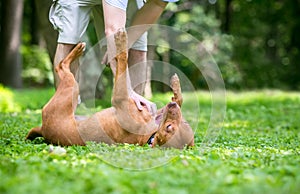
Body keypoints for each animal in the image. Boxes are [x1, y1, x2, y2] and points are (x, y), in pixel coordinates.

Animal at [25, 29, 195, 149]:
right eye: (185, 123)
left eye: (169, 128)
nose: (172, 106)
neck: (149, 134)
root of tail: (44, 130)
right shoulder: (155, 111)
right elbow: (179, 99)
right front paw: (176, 86)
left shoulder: (120, 97)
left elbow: (123, 58)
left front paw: (121, 41)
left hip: (70, 88)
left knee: (61, 66)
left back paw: (78, 50)